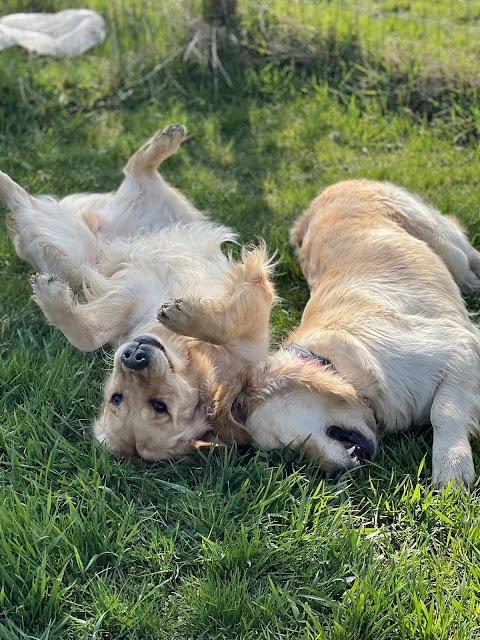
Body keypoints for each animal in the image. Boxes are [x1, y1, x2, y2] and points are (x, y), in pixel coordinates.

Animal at [225, 178, 480, 488]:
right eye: (292, 458)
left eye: (291, 447)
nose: (336, 475)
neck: (342, 369)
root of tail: (332, 187)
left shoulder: (458, 346)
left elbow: (444, 411)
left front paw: (452, 466)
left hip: (444, 244)